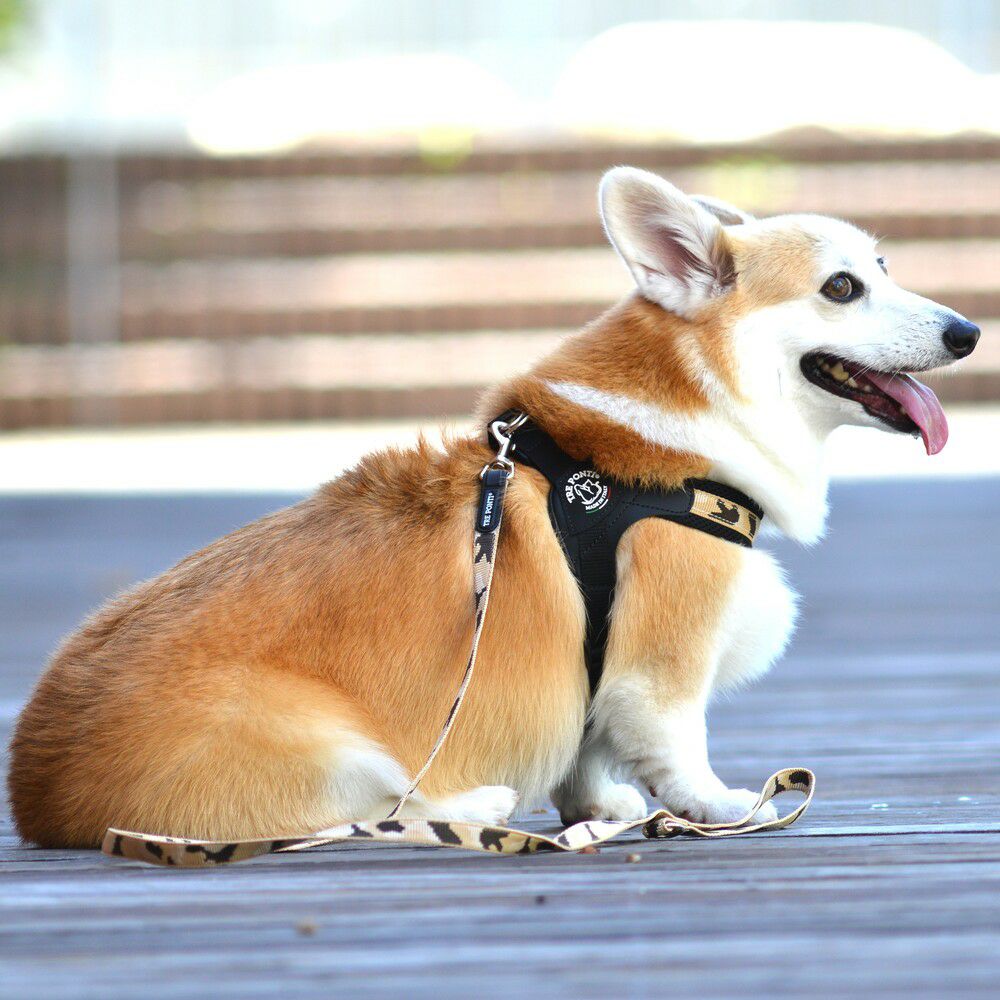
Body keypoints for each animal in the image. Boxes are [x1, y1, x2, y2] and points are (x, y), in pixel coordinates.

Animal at [8, 167, 979, 847]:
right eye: (841, 288)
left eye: (884, 268)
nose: (968, 332)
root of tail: (36, 794)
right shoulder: (663, 658)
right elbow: (677, 744)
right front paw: (721, 805)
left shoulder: (599, 678)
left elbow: (589, 755)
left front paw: (602, 810)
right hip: (328, 742)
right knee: (365, 814)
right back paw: (474, 804)